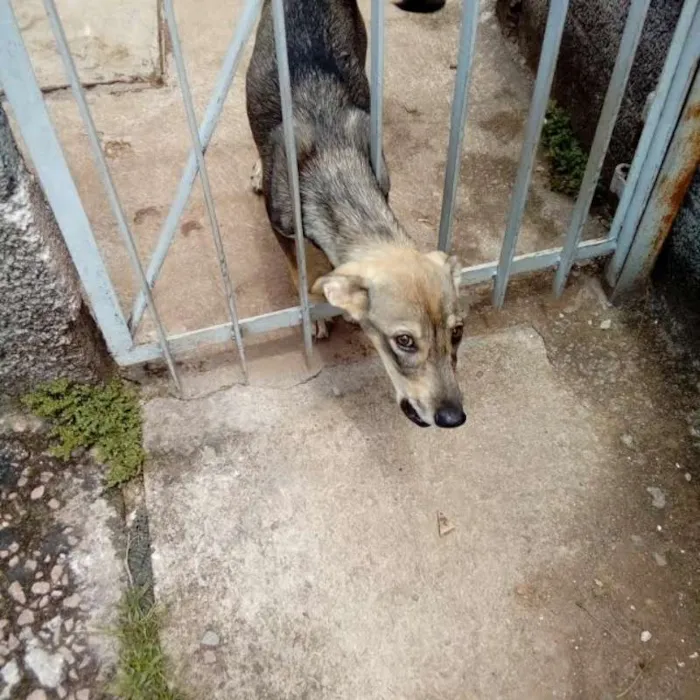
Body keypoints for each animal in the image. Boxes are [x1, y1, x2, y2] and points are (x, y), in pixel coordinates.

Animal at [246, 0, 464, 426]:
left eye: (457, 332)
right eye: (404, 341)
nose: (453, 418)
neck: (335, 164)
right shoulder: (281, 228)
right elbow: (302, 272)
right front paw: (314, 315)